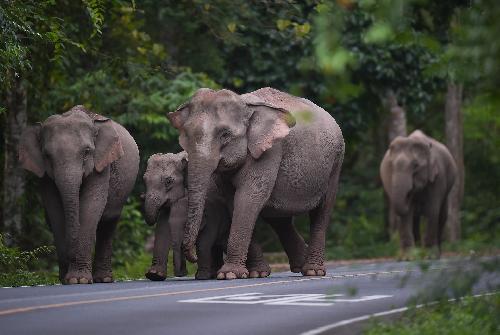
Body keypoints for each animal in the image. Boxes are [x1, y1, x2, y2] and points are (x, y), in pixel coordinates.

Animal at [18, 106, 140, 284]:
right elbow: (55, 210)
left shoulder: (101, 165)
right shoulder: (45, 176)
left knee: (108, 224)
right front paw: (68, 280)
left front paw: (79, 280)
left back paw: (103, 279)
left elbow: (91, 207)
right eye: (47, 155)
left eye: (87, 151)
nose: (71, 256)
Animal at [167, 86, 344, 280]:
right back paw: (300, 265)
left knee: (322, 210)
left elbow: (248, 197)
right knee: (279, 220)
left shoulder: (271, 150)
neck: (245, 104)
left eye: (225, 135)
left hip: (335, 163)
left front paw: (229, 274)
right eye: (186, 135)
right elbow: (233, 201)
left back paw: (313, 271)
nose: (192, 257)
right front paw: (257, 273)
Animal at [378, 129, 458, 258]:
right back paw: (419, 251)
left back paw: (437, 253)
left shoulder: (438, 178)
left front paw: (430, 256)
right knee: (415, 219)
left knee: (442, 215)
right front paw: (407, 258)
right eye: (391, 165)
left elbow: (432, 210)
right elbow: (406, 216)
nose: (409, 194)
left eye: (415, 165)